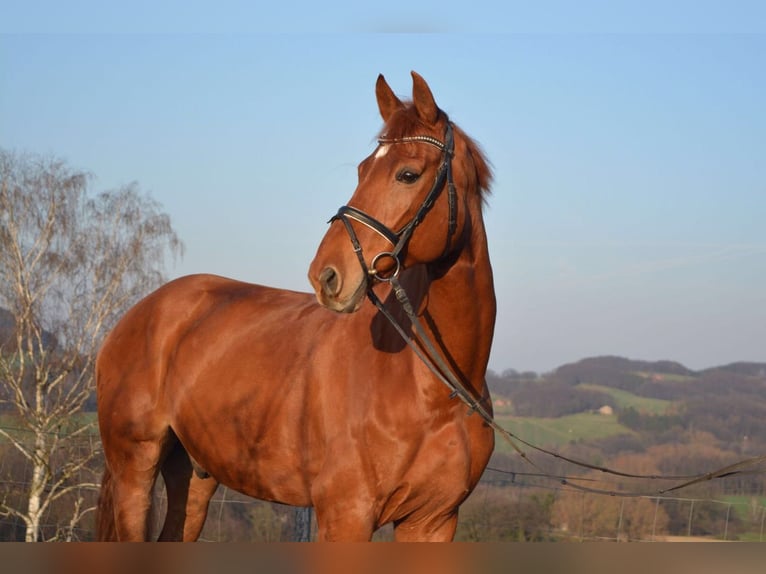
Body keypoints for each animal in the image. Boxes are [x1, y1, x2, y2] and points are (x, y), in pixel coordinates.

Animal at [96, 70, 498, 544]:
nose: (326, 275)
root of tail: (138, 315)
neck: (430, 390)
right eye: (362, 169)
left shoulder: (433, 522)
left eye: (407, 174)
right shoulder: (346, 517)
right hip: (133, 472)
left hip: (194, 479)